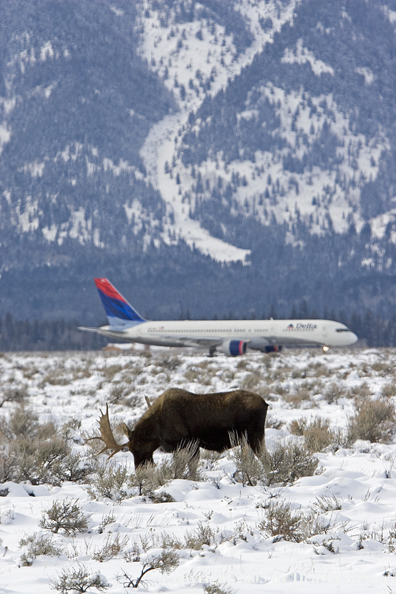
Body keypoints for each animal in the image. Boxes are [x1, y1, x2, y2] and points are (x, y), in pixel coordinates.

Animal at [92, 386, 268, 470]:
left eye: (136, 448)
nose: (139, 469)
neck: (156, 431)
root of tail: (266, 404)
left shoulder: (187, 443)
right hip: (249, 440)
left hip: (255, 436)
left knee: (265, 458)